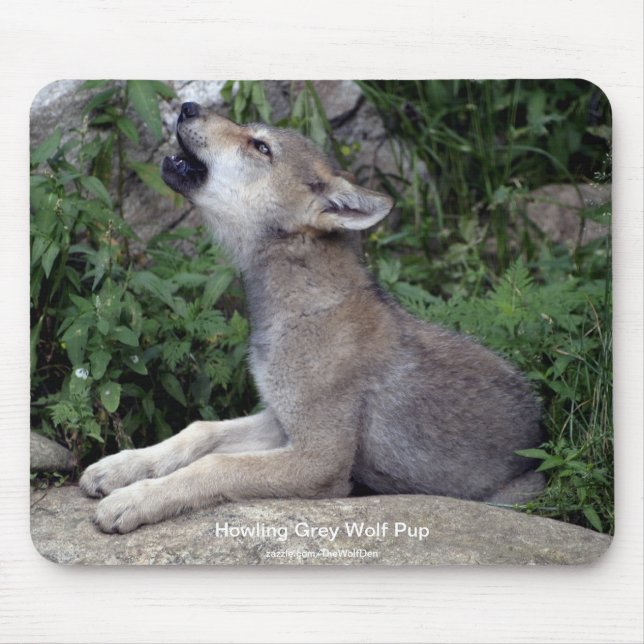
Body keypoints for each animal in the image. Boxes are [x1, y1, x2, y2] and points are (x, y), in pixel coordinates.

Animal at [79, 101, 544, 533]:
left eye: (261, 147)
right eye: (253, 134)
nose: (189, 105)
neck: (302, 309)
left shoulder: (318, 459)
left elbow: (216, 465)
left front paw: (135, 500)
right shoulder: (279, 419)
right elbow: (200, 430)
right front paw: (120, 467)